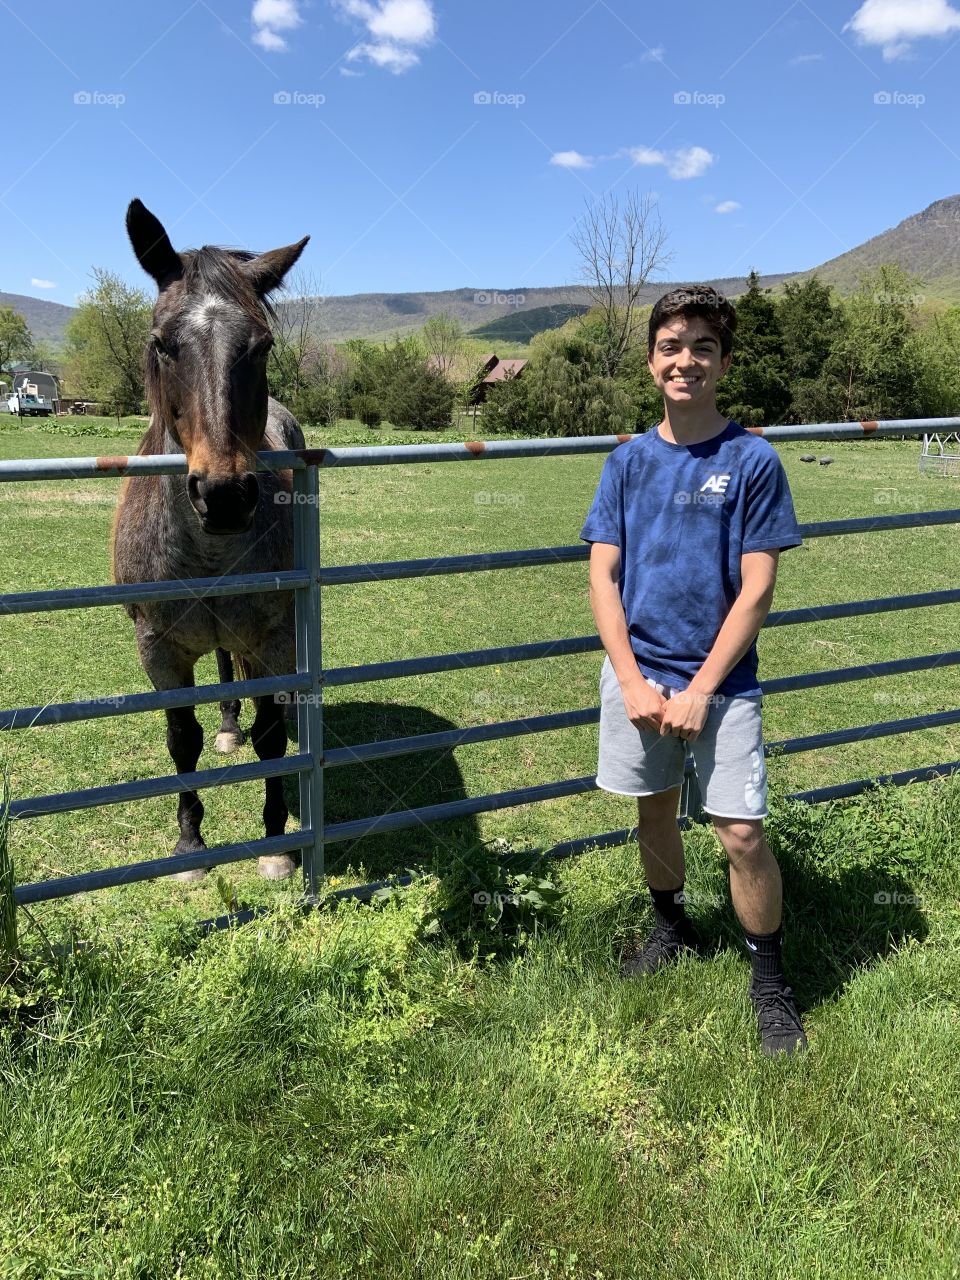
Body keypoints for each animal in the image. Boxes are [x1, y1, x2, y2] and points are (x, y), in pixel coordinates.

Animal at [112, 198, 310, 882]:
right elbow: (182, 740)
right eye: (161, 343)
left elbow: (273, 736)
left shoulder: (274, 639)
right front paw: (190, 845)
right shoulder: (158, 653)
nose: (222, 494)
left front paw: (275, 845)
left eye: (262, 344)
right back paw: (227, 729)